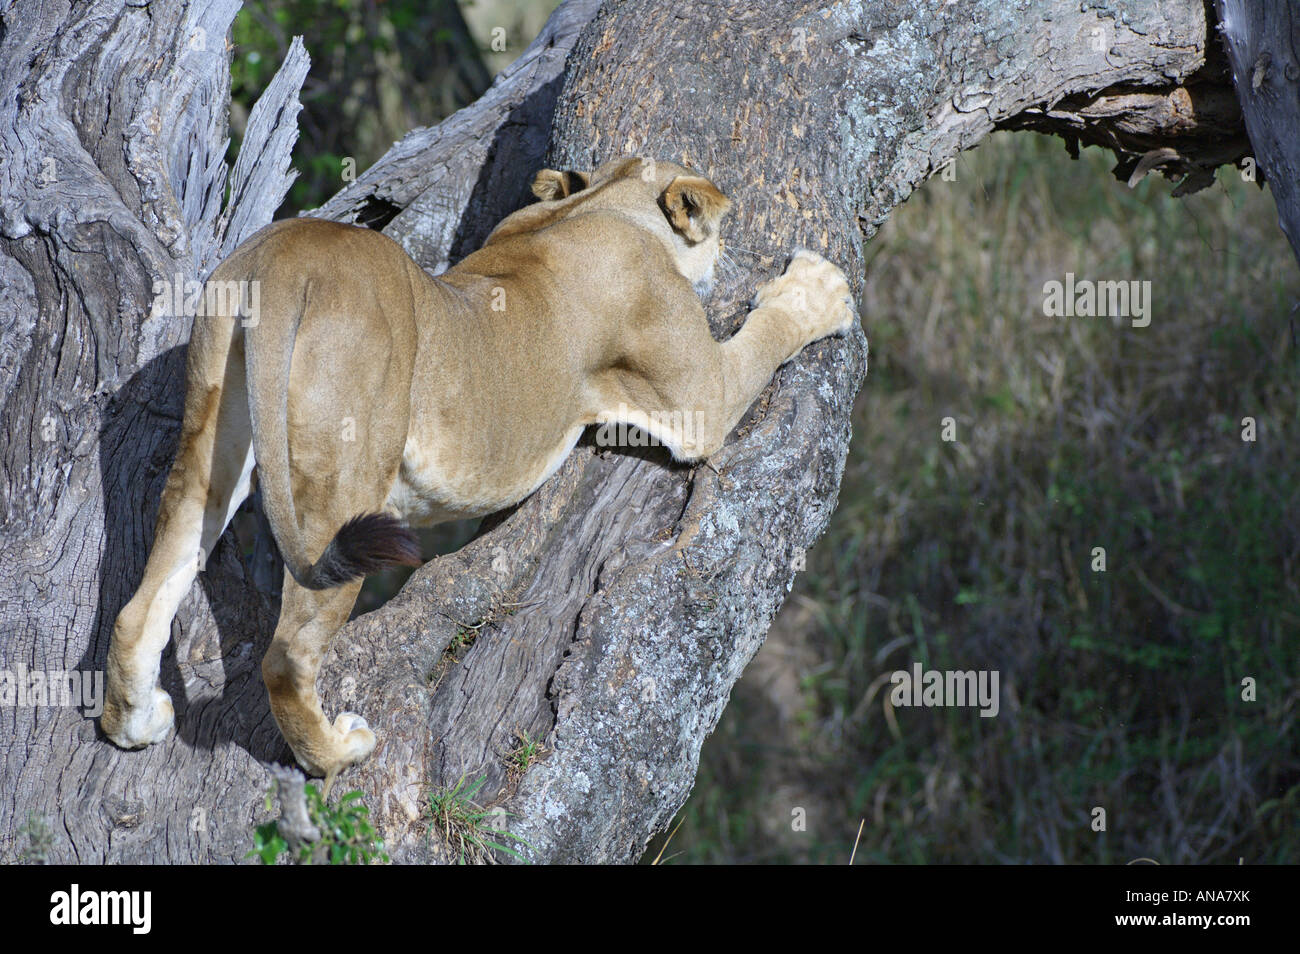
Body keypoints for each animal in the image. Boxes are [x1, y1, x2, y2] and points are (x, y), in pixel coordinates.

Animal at [101, 156, 856, 779]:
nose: (726, 253)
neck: (603, 204)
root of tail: (291, 252)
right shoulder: (699, 396)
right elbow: (769, 335)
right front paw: (822, 290)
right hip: (346, 479)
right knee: (286, 657)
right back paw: (337, 754)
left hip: (211, 431)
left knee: (142, 602)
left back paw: (132, 723)